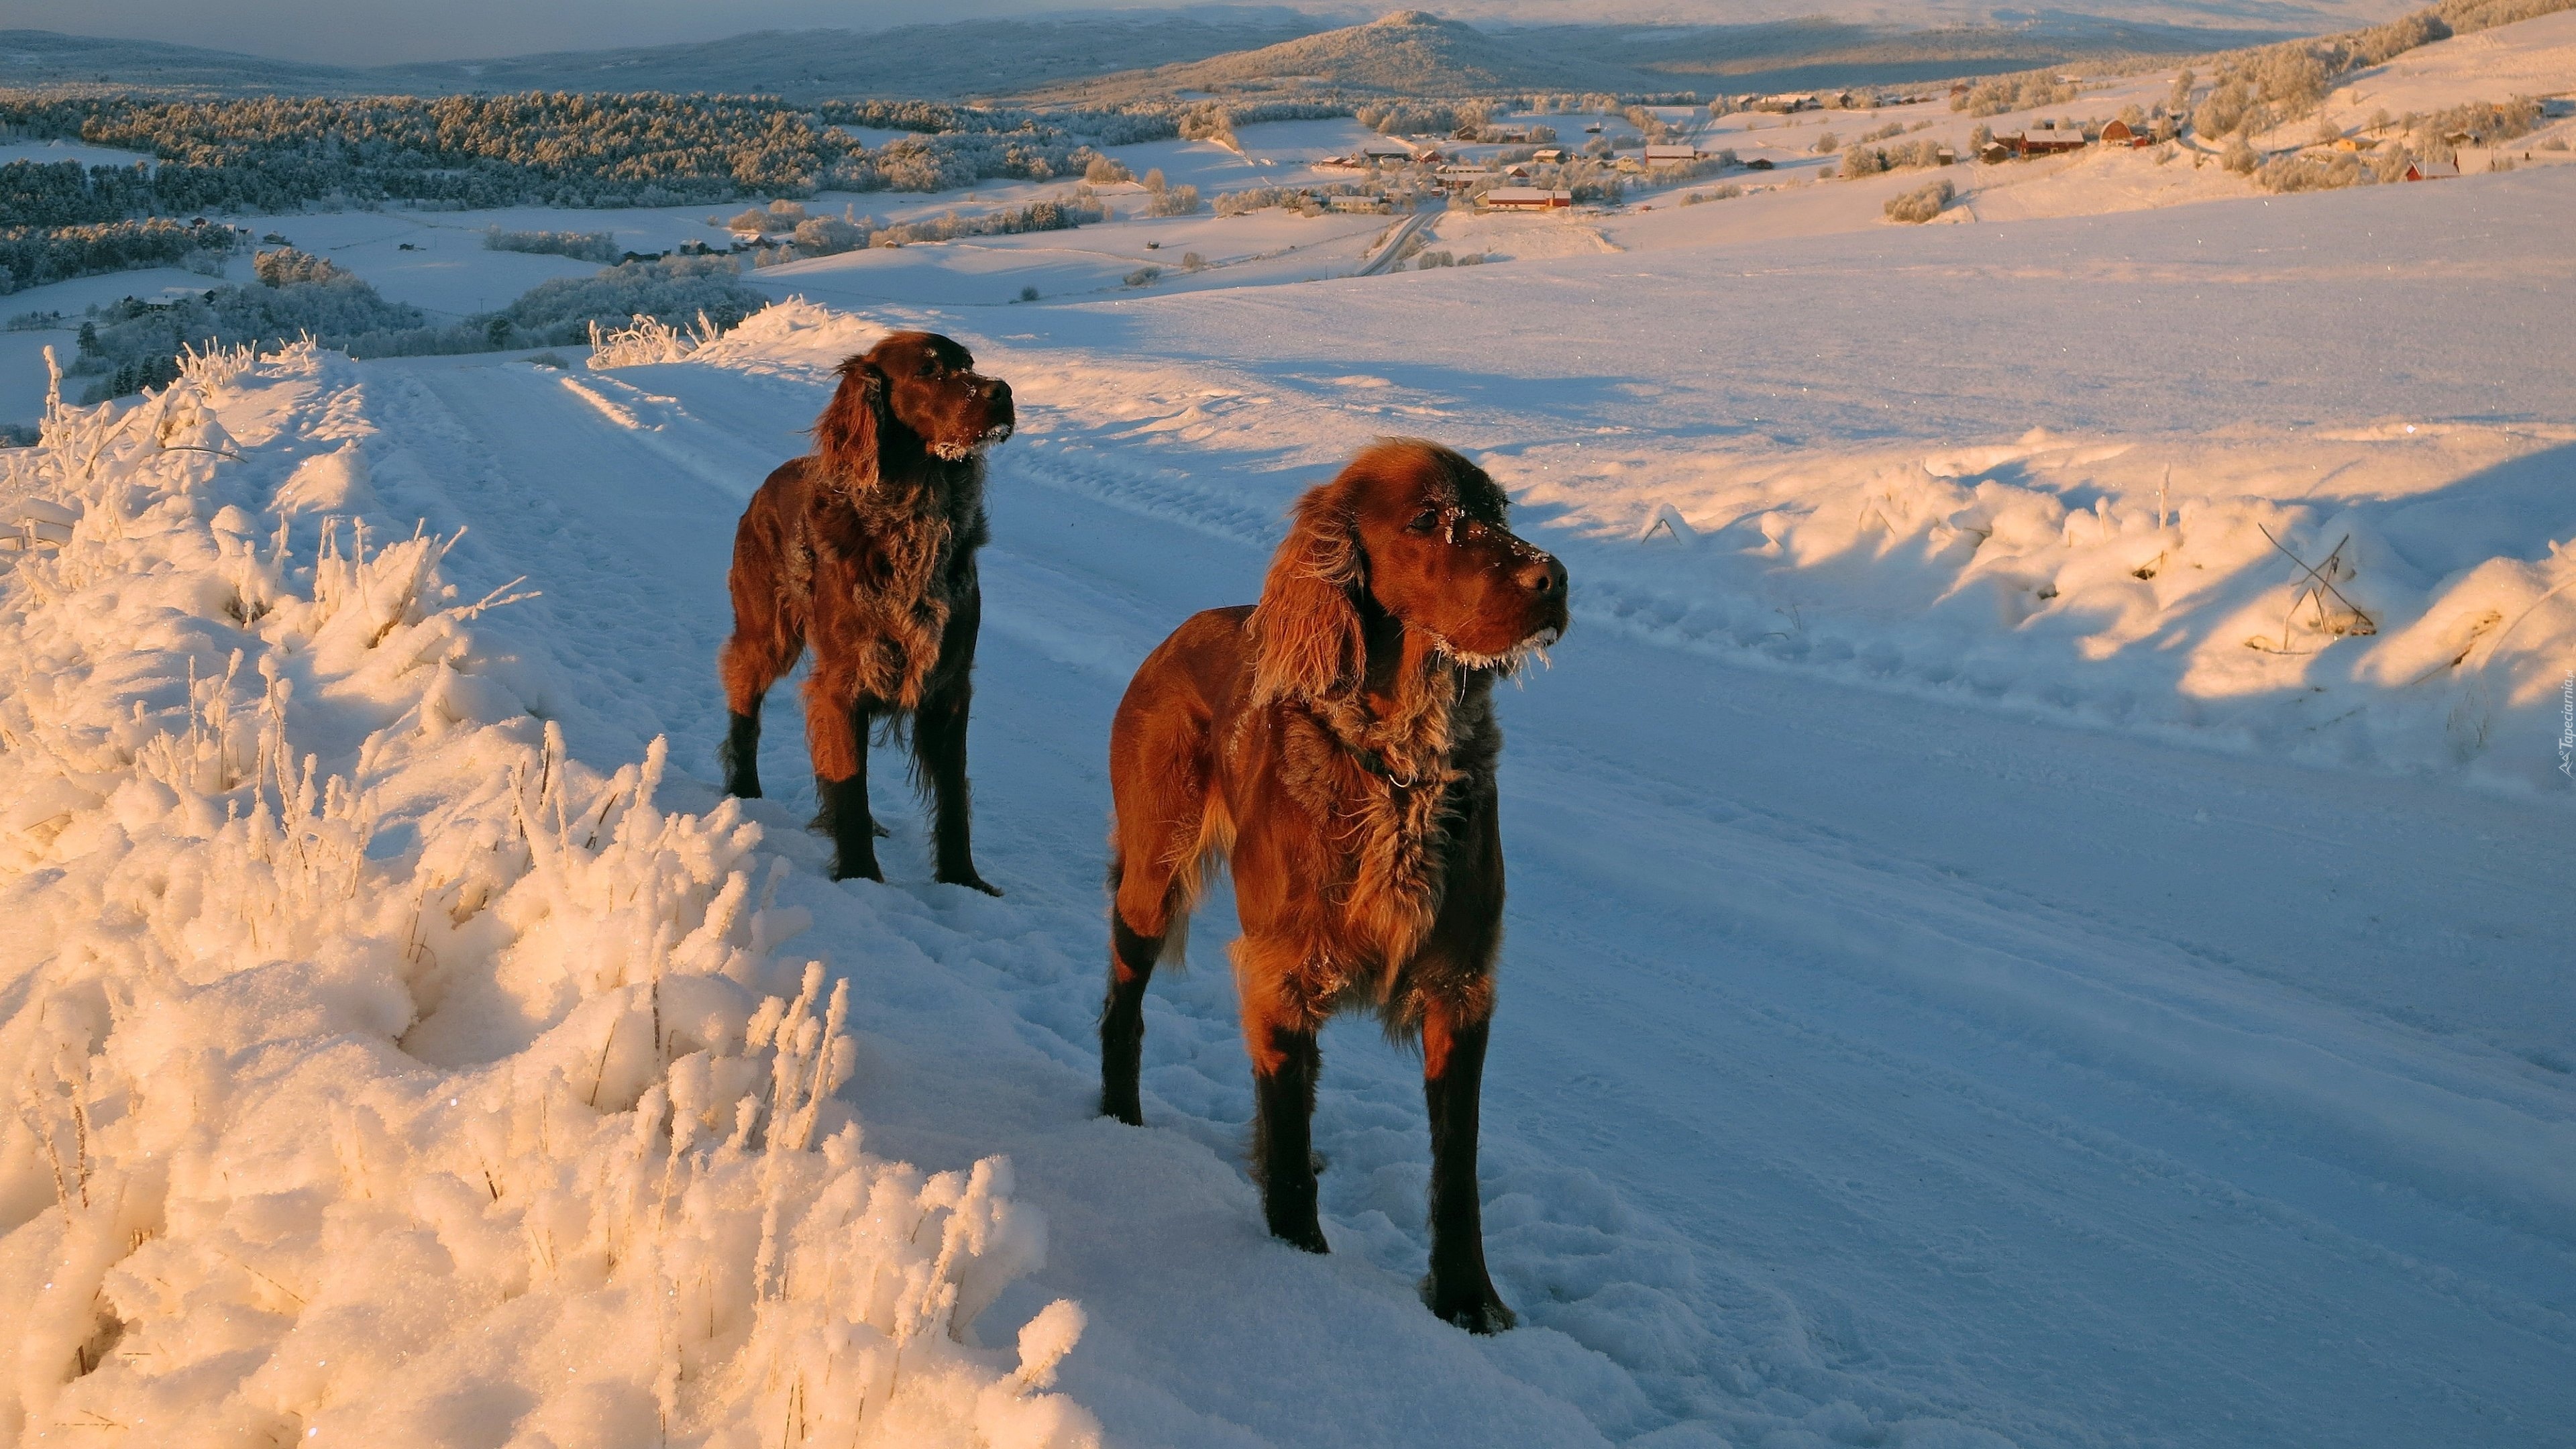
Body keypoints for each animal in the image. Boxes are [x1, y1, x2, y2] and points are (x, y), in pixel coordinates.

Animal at [726, 332, 1014, 887]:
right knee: (741, 691)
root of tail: (765, 486)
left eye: (969, 363)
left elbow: (952, 800)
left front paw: (963, 882)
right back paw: (743, 790)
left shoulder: (948, 685)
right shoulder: (844, 683)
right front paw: (860, 876)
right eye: (927, 370)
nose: (1003, 392)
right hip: (767, 635)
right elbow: (850, 788)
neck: (915, 522)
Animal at [1092, 433, 1556, 1330]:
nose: (1552, 577)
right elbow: (1287, 1131)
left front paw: (1466, 1301)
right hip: (1152, 879)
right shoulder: (1282, 972)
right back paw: (1118, 1124)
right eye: (1427, 519)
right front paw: (1298, 1261)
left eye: (1498, 510)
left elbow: (1457, 1173)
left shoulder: (1460, 989)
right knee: (1122, 1006)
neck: (1402, 768)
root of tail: (1179, 633)